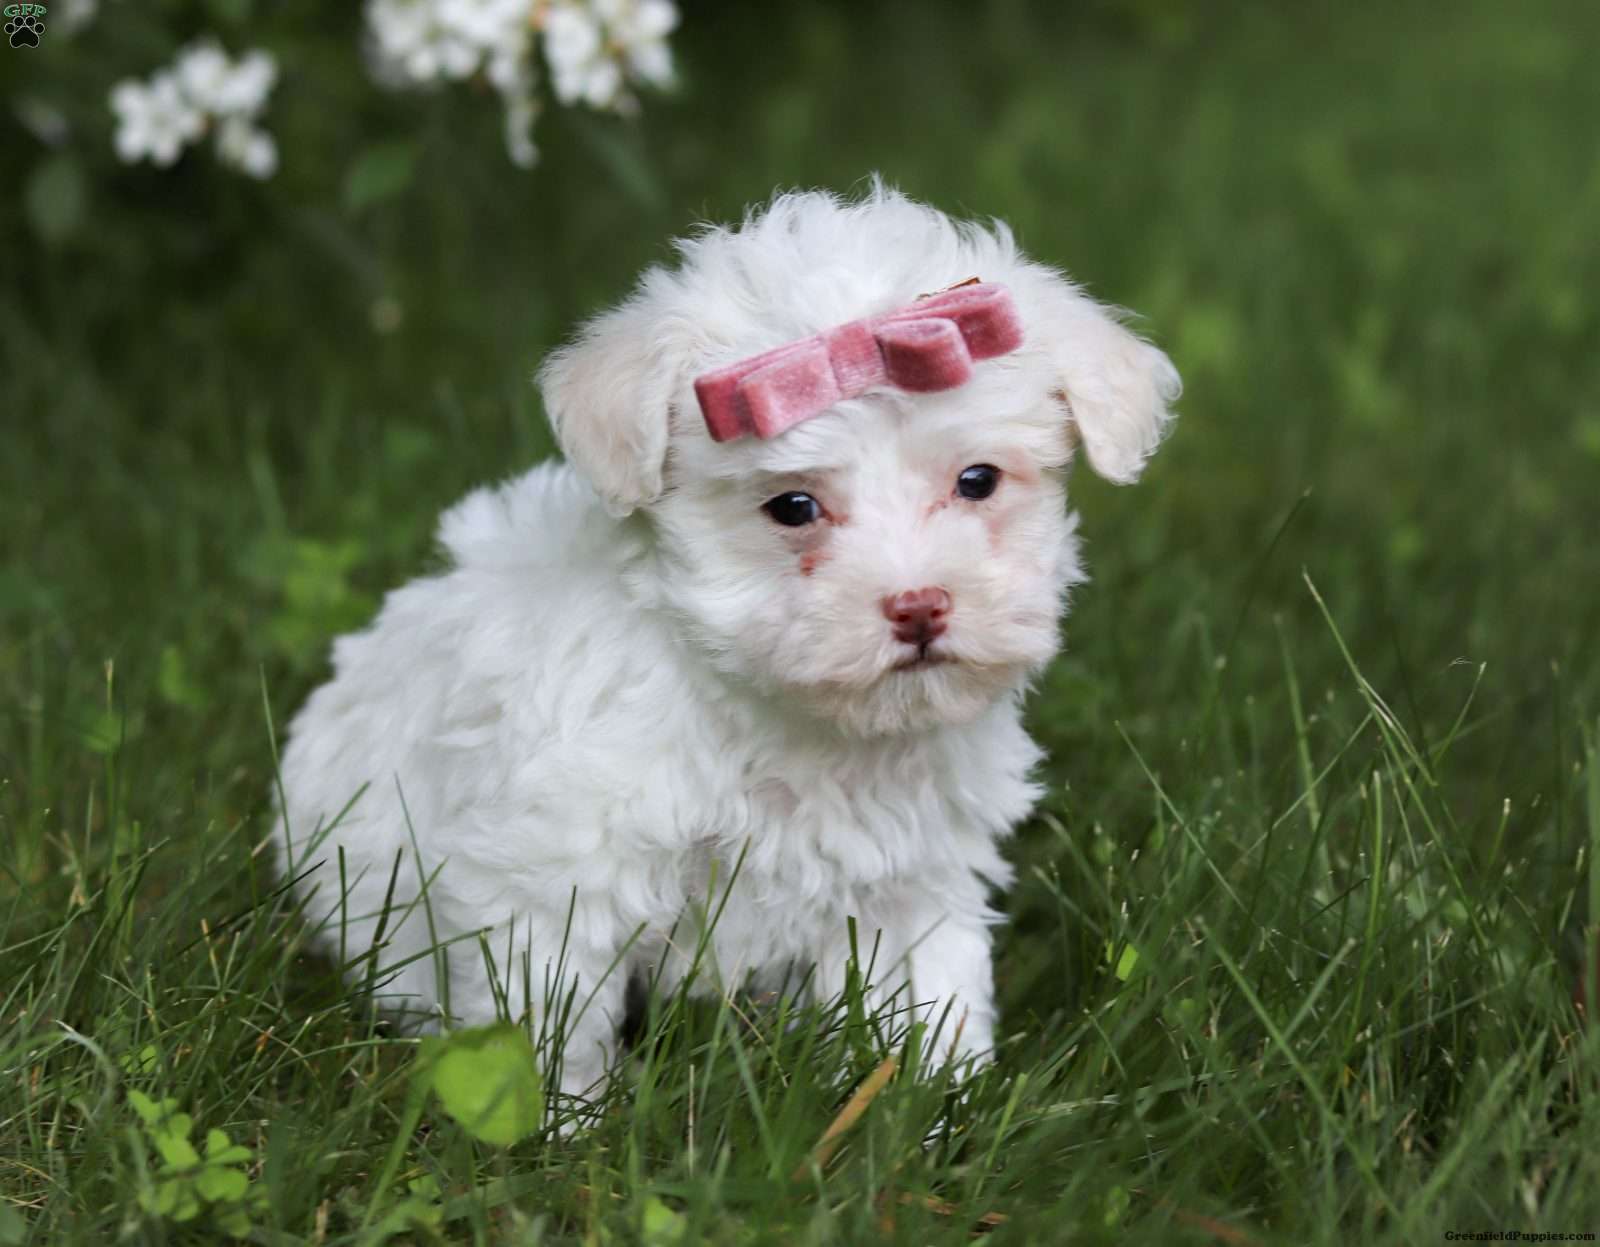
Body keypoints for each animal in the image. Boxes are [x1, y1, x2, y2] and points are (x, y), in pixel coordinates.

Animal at [274, 182, 1180, 1104]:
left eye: (978, 481)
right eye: (792, 506)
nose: (919, 605)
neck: (776, 712)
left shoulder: (912, 880)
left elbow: (928, 996)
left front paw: (930, 1105)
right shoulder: (559, 871)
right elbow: (551, 1015)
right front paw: (564, 1124)